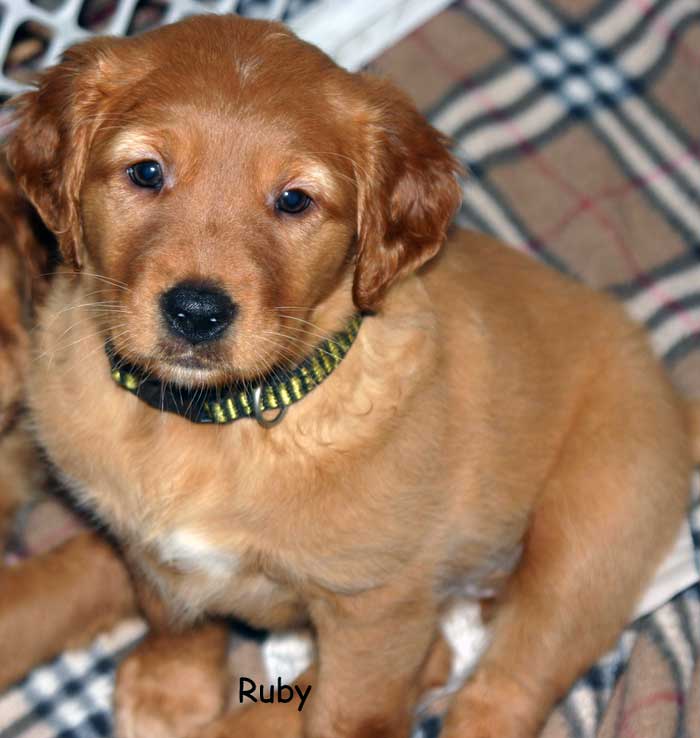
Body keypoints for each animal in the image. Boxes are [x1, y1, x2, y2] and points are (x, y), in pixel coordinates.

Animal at [8, 17, 696, 736]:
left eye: (294, 200)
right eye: (146, 172)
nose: (197, 311)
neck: (218, 423)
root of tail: (668, 389)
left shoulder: (377, 607)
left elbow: (349, 712)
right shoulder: (144, 545)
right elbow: (176, 615)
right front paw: (173, 689)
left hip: (594, 528)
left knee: (509, 681)